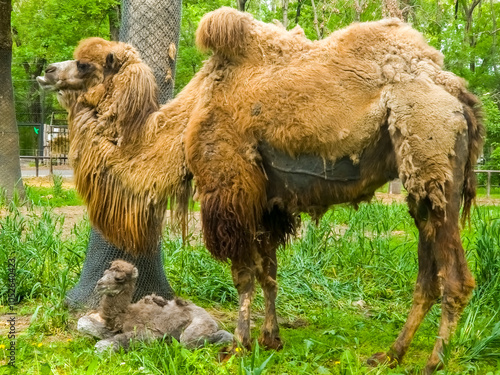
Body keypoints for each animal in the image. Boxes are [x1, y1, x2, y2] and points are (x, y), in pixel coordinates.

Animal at [77, 262, 233, 352]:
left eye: (119, 278)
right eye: (104, 273)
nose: (99, 284)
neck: (125, 314)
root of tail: (212, 319)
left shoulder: (149, 333)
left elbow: (104, 345)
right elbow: (83, 322)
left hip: (196, 328)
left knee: (191, 341)